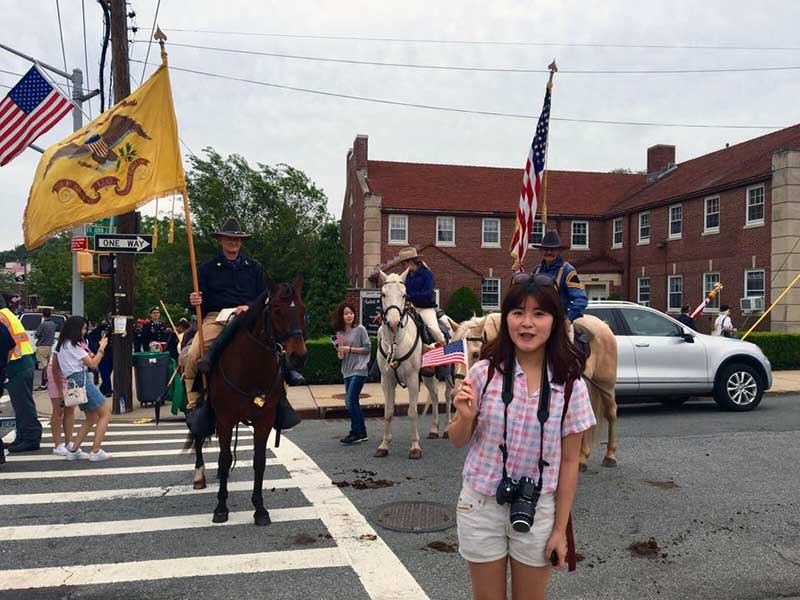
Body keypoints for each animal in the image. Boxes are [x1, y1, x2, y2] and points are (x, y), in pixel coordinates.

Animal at [188, 276, 310, 524]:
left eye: (303, 310)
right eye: (276, 309)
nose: (299, 357)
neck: (251, 367)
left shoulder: (264, 420)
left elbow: (259, 461)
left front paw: (260, 508)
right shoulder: (225, 419)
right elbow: (225, 459)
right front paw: (221, 507)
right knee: (198, 434)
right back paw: (200, 475)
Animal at [450, 312, 620, 472]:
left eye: (475, 354)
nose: (456, 392)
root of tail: (604, 325)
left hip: (605, 385)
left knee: (611, 413)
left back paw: (610, 456)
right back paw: (583, 458)